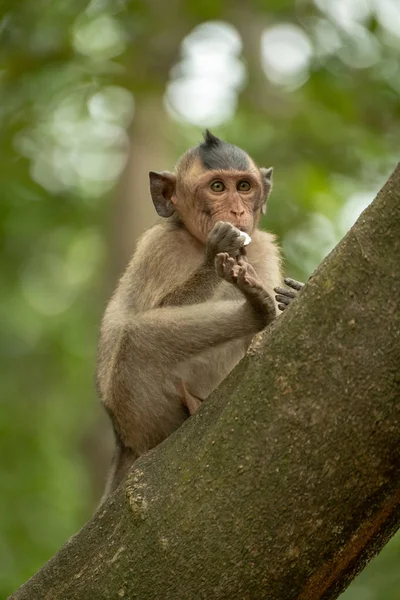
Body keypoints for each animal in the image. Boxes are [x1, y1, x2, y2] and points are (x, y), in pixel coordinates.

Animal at [97, 130, 302, 496]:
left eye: (244, 187)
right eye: (217, 187)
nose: (236, 210)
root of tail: (123, 441)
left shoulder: (263, 249)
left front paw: (292, 297)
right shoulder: (161, 248)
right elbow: (149, 314)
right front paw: (216, 253)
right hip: (139, 416)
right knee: (137, 338)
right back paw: (255, 310)